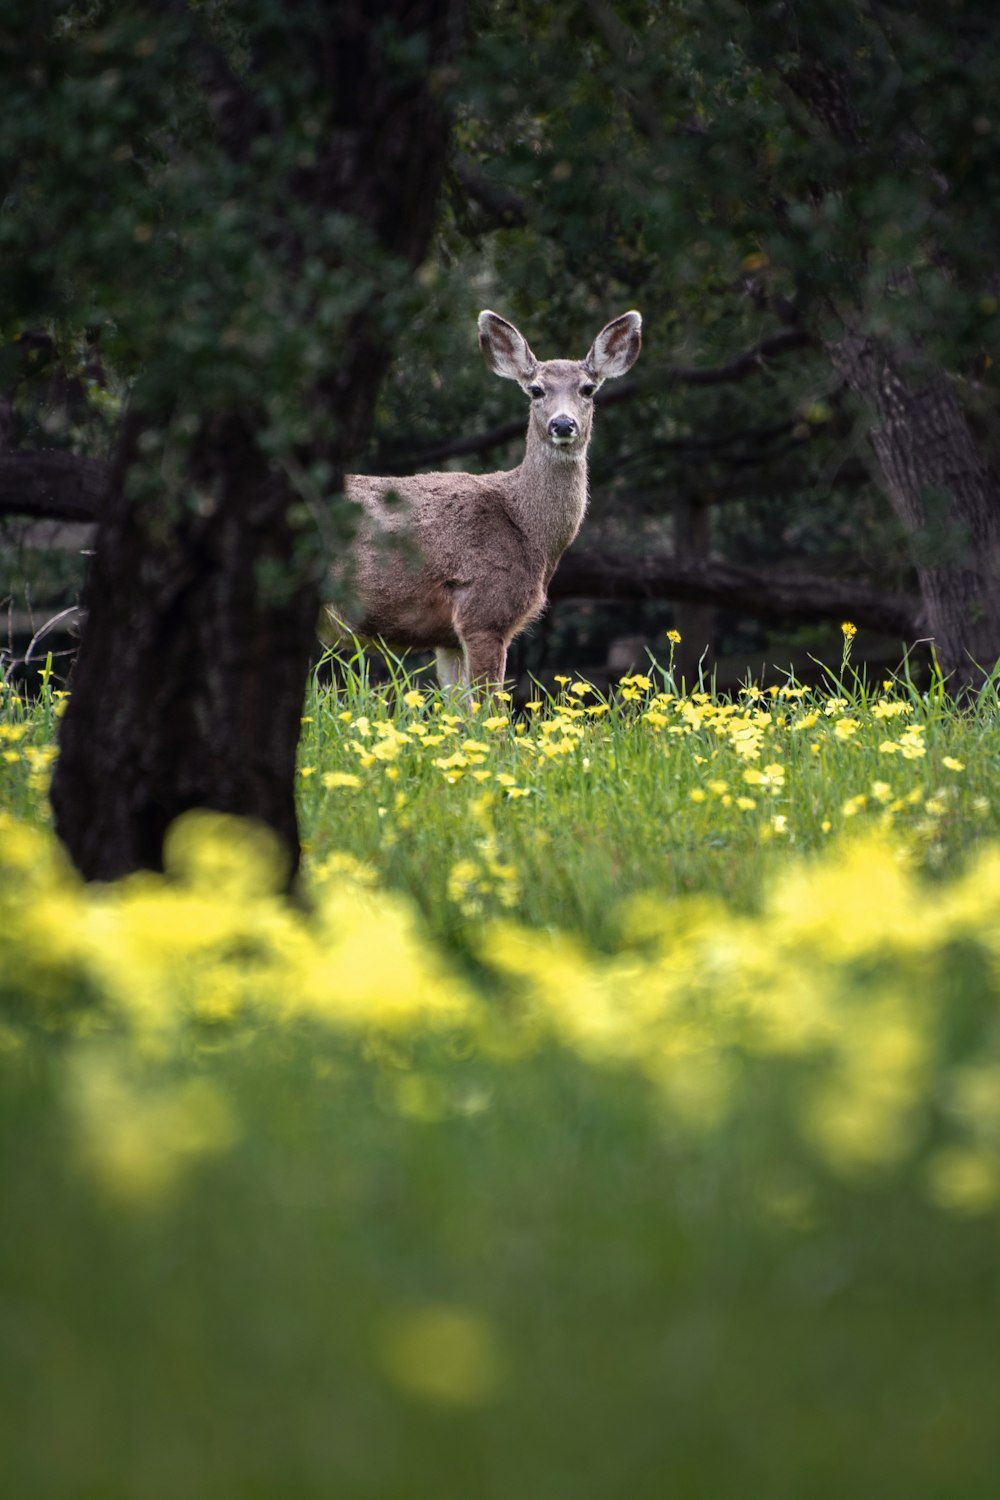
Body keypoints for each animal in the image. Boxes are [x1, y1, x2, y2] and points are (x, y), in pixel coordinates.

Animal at [325, 313, 644, 693]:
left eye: (588, 389)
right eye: (536, 390)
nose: (563, 423)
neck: (528, 531)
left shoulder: (447, 638)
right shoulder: (485, 611)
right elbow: (488, 706)